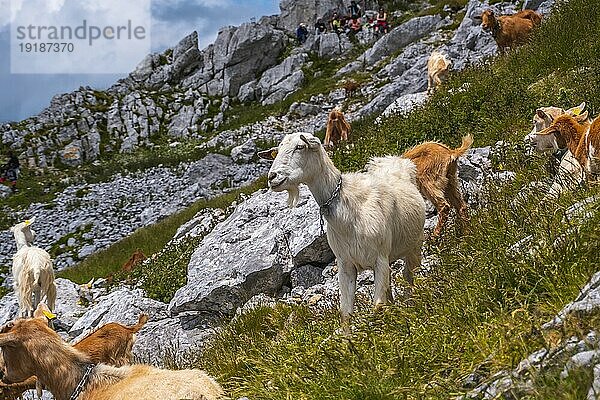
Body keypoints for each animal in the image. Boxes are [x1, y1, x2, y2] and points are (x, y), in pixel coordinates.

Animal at [260, 134, 424, 328]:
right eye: (276, 151)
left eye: (300, 147)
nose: (272, 177)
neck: (350, 211)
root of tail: (393, 159)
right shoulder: (346, 264)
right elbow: (346, 313)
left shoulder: (380, 259)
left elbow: (377, 306)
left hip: (414, 244)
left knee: (409, 276)